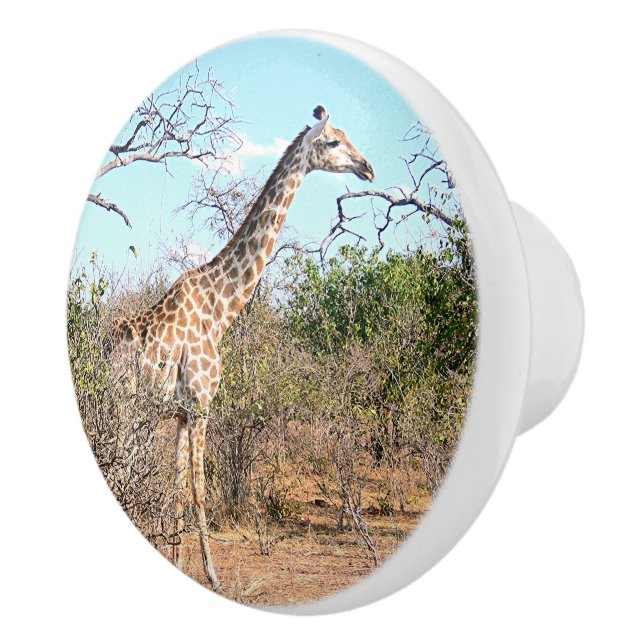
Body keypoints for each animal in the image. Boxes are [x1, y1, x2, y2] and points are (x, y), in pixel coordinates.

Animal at [110, 105, 375, 589]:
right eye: (332, 142)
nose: (368, 168)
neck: (221, 309)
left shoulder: (181, 413)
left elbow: (178, 489)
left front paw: (179, 563)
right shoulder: (201, 404)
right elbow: (199, 491)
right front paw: (213, 575)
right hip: (124, 409)